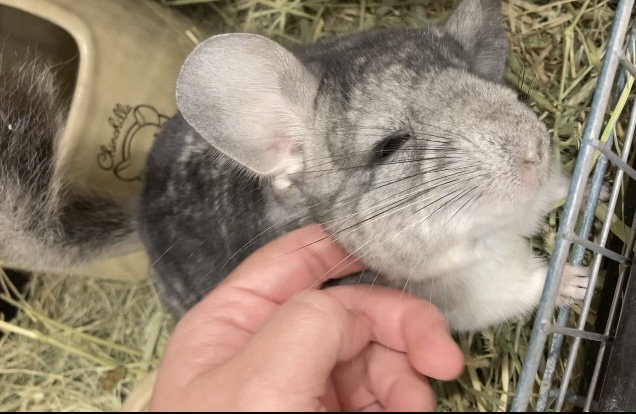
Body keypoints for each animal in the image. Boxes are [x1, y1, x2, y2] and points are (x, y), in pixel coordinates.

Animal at [138, 0, 589, 333]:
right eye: (389, 146)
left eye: (497, 87)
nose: (534, 154)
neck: (500, 227)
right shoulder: (471, 290)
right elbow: (528, 288)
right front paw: (577, 281)